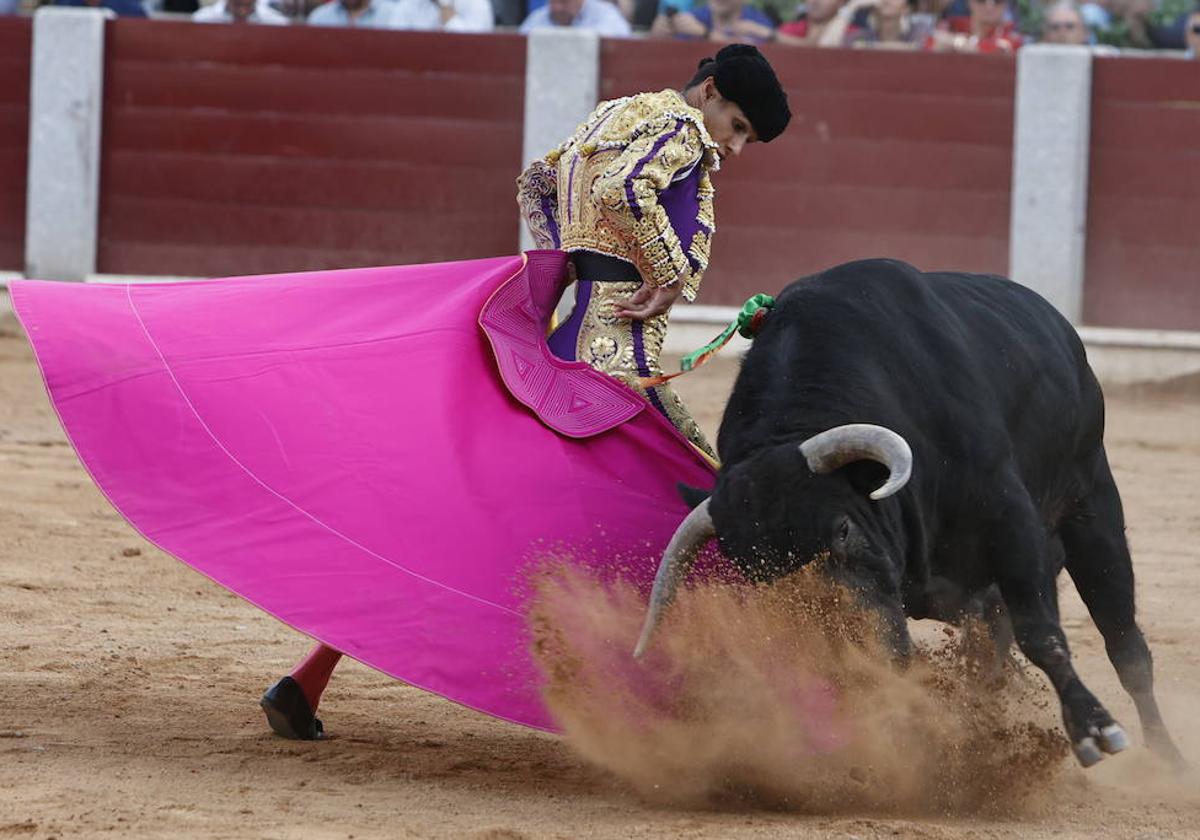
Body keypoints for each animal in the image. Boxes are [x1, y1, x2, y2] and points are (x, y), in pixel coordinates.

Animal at [638, 259, 1180, 772]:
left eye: (842, 528)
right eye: (754, 572)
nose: (858, 647)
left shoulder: (1009, 518)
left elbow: (1041, 631)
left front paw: (1093, 730)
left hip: (1093, 504)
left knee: (1126, 647)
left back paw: (1166, 758)